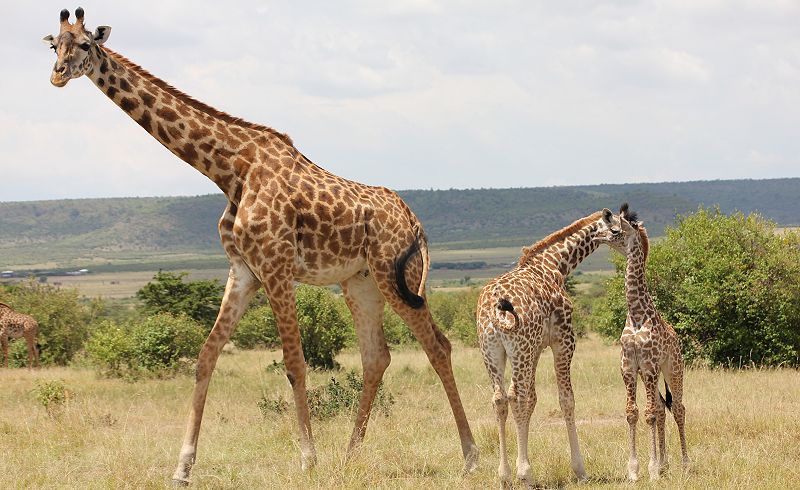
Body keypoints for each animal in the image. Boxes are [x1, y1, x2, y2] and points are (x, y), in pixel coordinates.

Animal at [596, 204, 692, 482]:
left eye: (614, 230)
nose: (596, 237)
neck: (637, 315)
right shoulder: (628, 368)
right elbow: (633, 412)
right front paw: (634, 470)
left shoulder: (648, 366)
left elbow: (648, 414)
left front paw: (650, 470)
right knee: (661, 408)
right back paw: (665, 465)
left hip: (673, 369)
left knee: (678, 408)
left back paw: (685, 464)